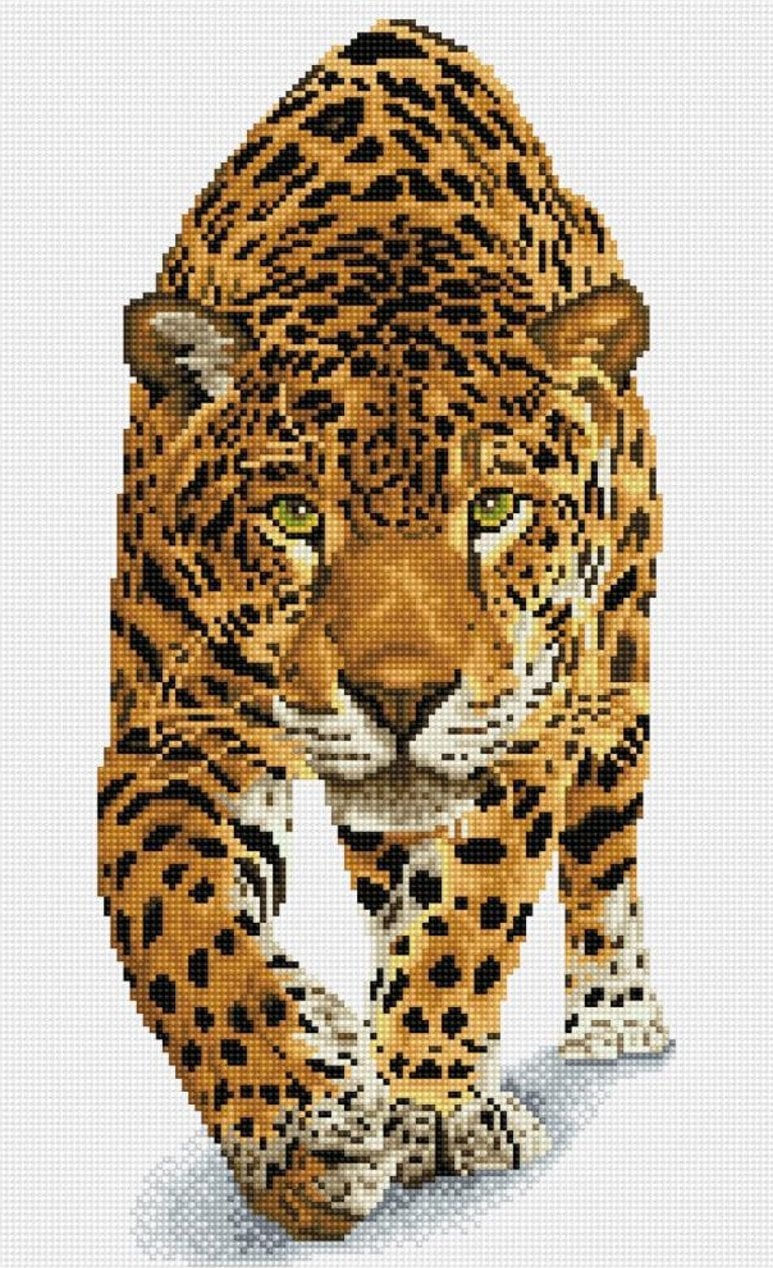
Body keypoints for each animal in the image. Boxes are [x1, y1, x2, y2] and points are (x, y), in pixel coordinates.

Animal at [98, 17, 670, 1241]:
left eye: (493, 510)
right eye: (293, 515)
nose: (401, 696)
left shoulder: (527, 728)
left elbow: (473, 912)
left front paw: (436, 1106)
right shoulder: (171, 740)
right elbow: (183, 931)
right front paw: (301, 1135)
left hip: (620, 667)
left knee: (603, 844)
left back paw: (612, 1010)